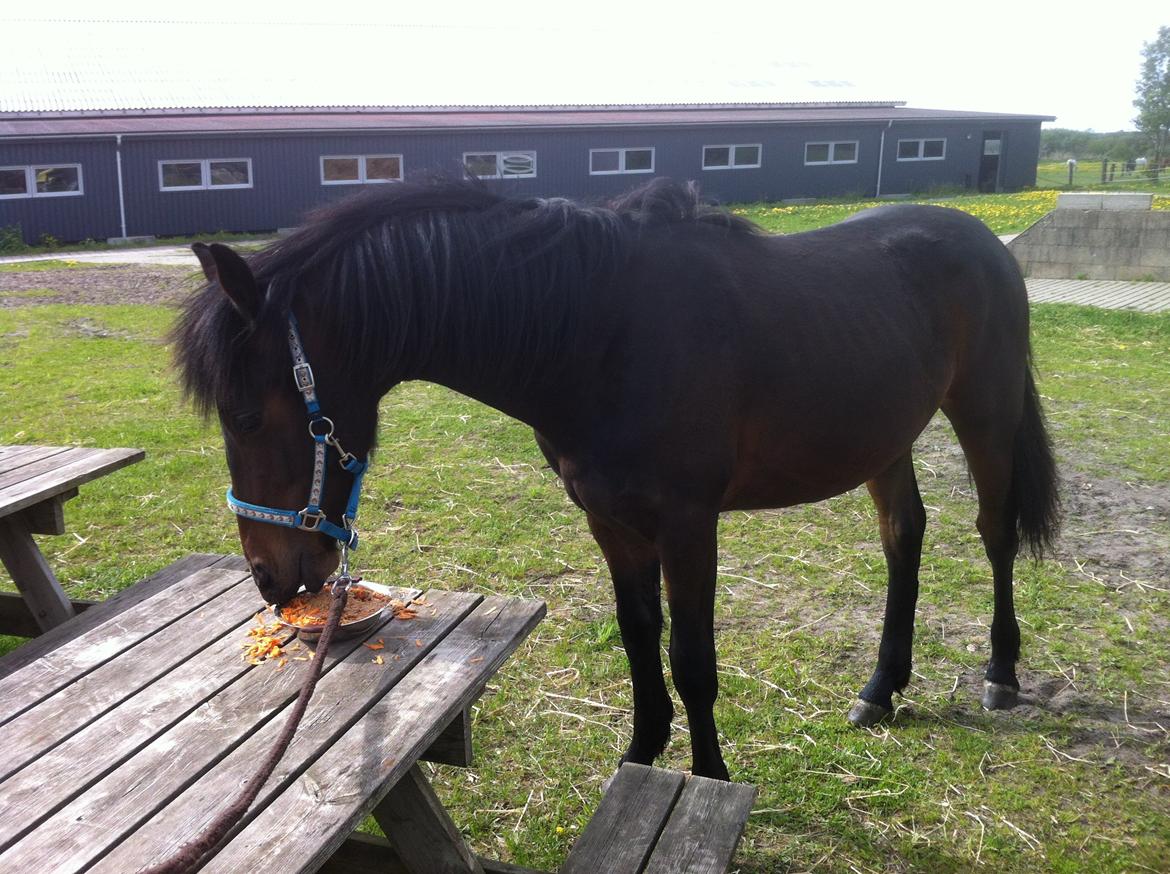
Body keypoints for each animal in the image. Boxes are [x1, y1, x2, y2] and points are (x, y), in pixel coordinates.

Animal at [173, 175, 1062, 781]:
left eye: (246, 416)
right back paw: (882, 688)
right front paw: (641, 756)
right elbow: (640, 640)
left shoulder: (689, 524)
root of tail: (984, 240)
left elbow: (692, 659)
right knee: (904, 535)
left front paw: (708, 780)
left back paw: (1000, 673)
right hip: (884, 437)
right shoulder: (609, 519)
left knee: (993, 534)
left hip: (985, 414)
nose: (269, 577)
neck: (598, 331)